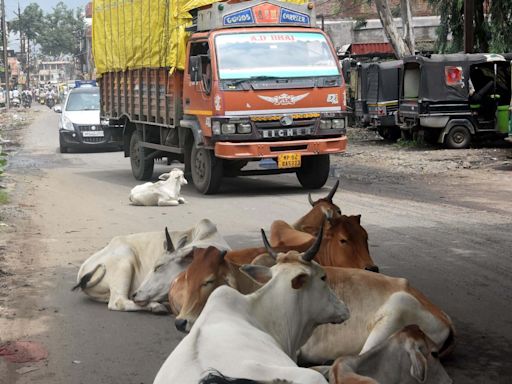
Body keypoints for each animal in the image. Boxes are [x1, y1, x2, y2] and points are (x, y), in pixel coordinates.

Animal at [72, 219, 230, 312]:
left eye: (158, 267)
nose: (135, 294)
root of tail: (83, 270)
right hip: (125, 261)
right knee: (118, 301)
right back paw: (156, 306)